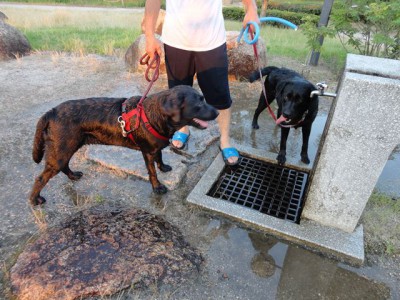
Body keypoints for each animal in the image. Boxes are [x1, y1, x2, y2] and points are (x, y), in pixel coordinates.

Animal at [30, 85, 219, 205]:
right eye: (199, 103)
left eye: (203, 99)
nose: (217, 112)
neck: (153, 115)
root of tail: (51, 112)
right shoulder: (147, 152)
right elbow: (152, 172)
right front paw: (157, 187)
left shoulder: (155, 149)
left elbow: (160, 156)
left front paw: (163, 167)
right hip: (62, 150)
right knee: (40, 178)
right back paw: (34, 200)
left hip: (67, 148)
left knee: (64, 166)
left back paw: (73, 175)